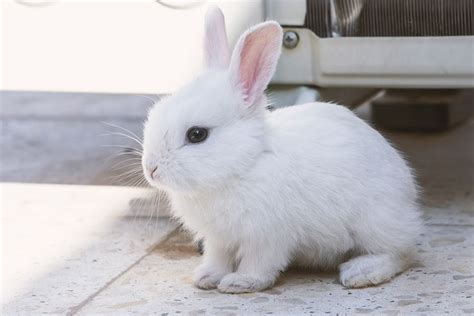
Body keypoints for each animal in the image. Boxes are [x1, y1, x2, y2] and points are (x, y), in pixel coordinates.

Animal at [142, 7, 422, 294]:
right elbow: (217, 258)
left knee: (402, 252)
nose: (151, 169)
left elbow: (259, 263)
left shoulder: (267, 235)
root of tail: (408, 193)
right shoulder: (219, 238)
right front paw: (207, 277)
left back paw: (362, 271)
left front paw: (240, 282)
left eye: (197, 134)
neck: (245, 165)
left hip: (375, 222)